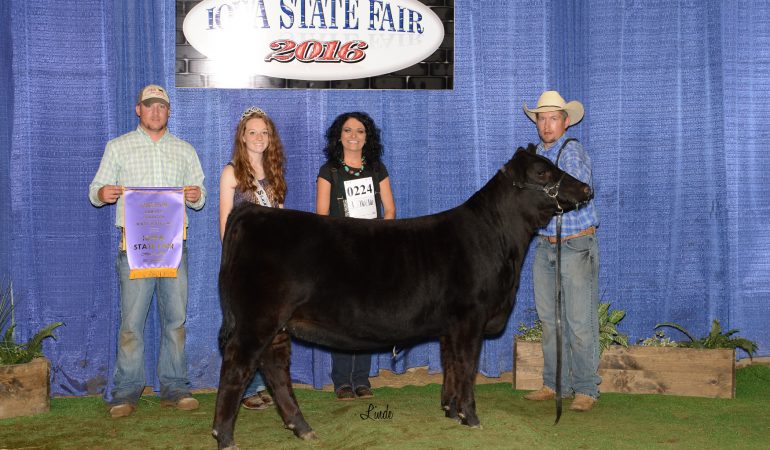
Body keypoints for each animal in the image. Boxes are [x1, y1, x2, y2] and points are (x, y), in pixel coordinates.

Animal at [213, 146, 592, 448]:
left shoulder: (450, 326)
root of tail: (253, 213)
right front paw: (471, 418)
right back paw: (225, 437)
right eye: (542, 172)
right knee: (236, 369)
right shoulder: (470, 317)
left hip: (276, 326)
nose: (587, 187)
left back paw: (302, 428)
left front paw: (450, 410)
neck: (498, 240)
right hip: (257, 320)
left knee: (275, 370)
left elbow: (451, 365)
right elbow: (467, 367)